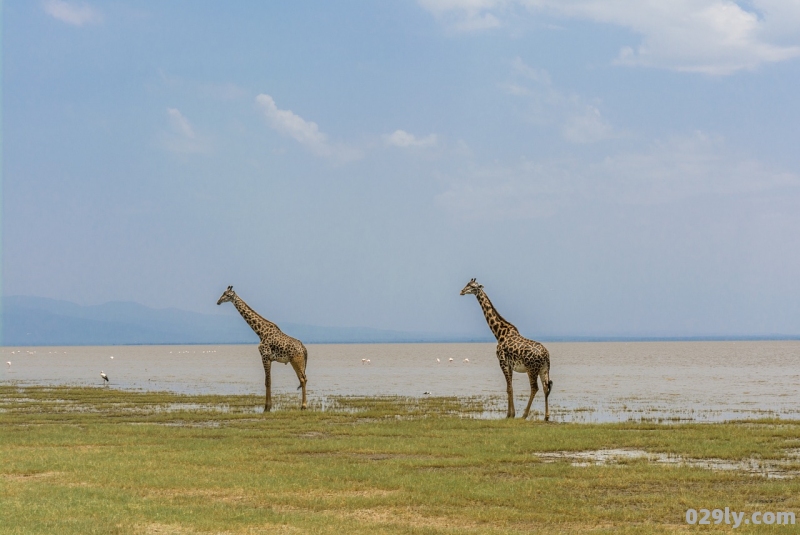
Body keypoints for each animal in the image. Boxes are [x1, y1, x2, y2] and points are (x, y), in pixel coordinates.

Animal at [460, 278, 552, 420]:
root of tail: (546, 355)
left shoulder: (502, 362)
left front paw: (510, 414)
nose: (462, 291)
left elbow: (509, 388)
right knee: (545, 387)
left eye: (473, 286)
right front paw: (510, 414)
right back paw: (546, 417)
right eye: (467, 284)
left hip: (531, 369)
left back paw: (524, 415)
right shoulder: (510, 365)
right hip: (544, 369)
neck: (499, 333)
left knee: (534, 388)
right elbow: (510, 387)